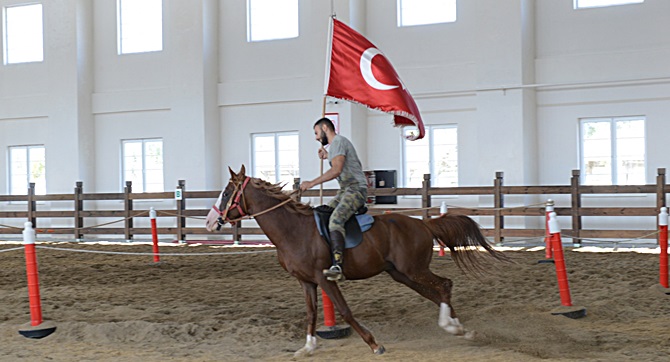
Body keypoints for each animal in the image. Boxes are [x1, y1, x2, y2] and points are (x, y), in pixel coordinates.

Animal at [205, 166, 510, 356]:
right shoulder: (305, 281)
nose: (209, 221)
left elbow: (345, 311)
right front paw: (308, 347)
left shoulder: (323, 277)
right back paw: (459, 328)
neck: (294, 229)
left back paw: (452, 325)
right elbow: (311, 313)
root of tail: (424, 224)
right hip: (402, 274)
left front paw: (374, 345)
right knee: (436, 293)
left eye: (226, 193)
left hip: (413, 269)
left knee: (444, 285)